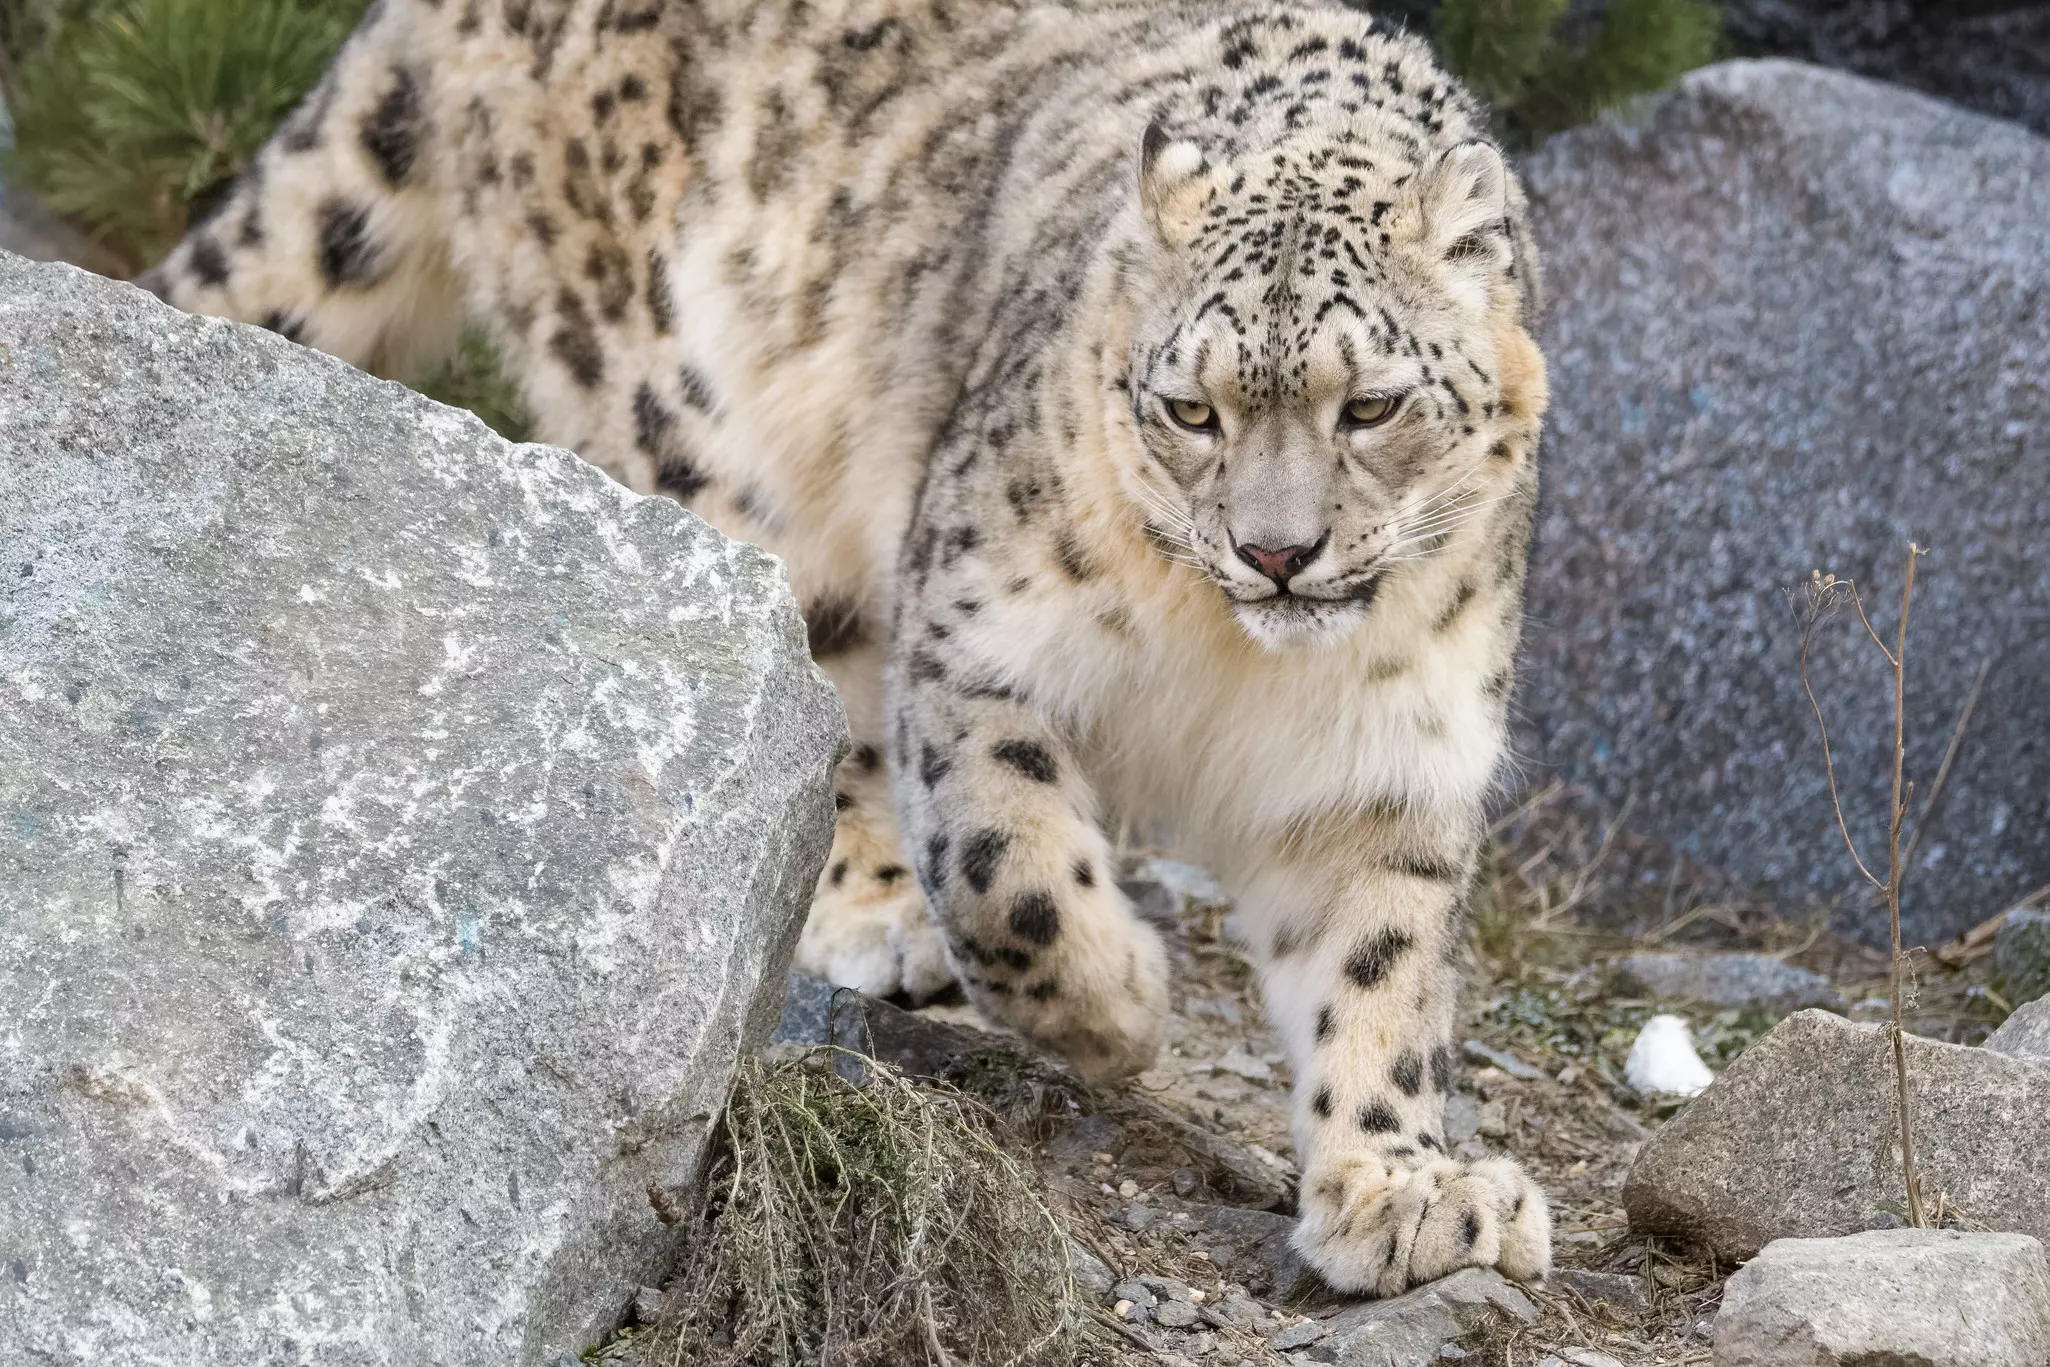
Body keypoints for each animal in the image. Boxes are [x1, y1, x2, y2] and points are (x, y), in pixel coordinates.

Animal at [142, 0, 1553, 1297]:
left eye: (1370, 405)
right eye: (1189, 408)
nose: (1275, 552)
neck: (1235, 659)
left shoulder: (1384, 758)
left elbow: (1379, 966)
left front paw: (1402, 1186)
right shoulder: (980, 629)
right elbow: (1005, 865)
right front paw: (1119, 1007)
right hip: (697, 421)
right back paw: (878, 908)